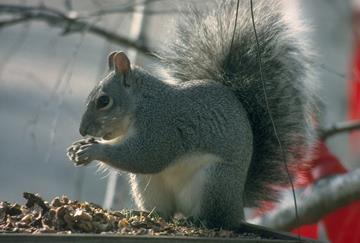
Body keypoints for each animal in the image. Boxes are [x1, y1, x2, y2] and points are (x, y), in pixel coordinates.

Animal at [66, 0, 316, 229]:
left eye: (103, 101)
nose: (82, 130)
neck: (141, 105)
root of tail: (237, 209)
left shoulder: (160, 127)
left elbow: (145, 157)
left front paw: (92, 150)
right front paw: (79, 146)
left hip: (213, 181)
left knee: (213, 218)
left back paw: (198, 220)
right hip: (149, 186)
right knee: (165, 212)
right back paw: (145, 215)